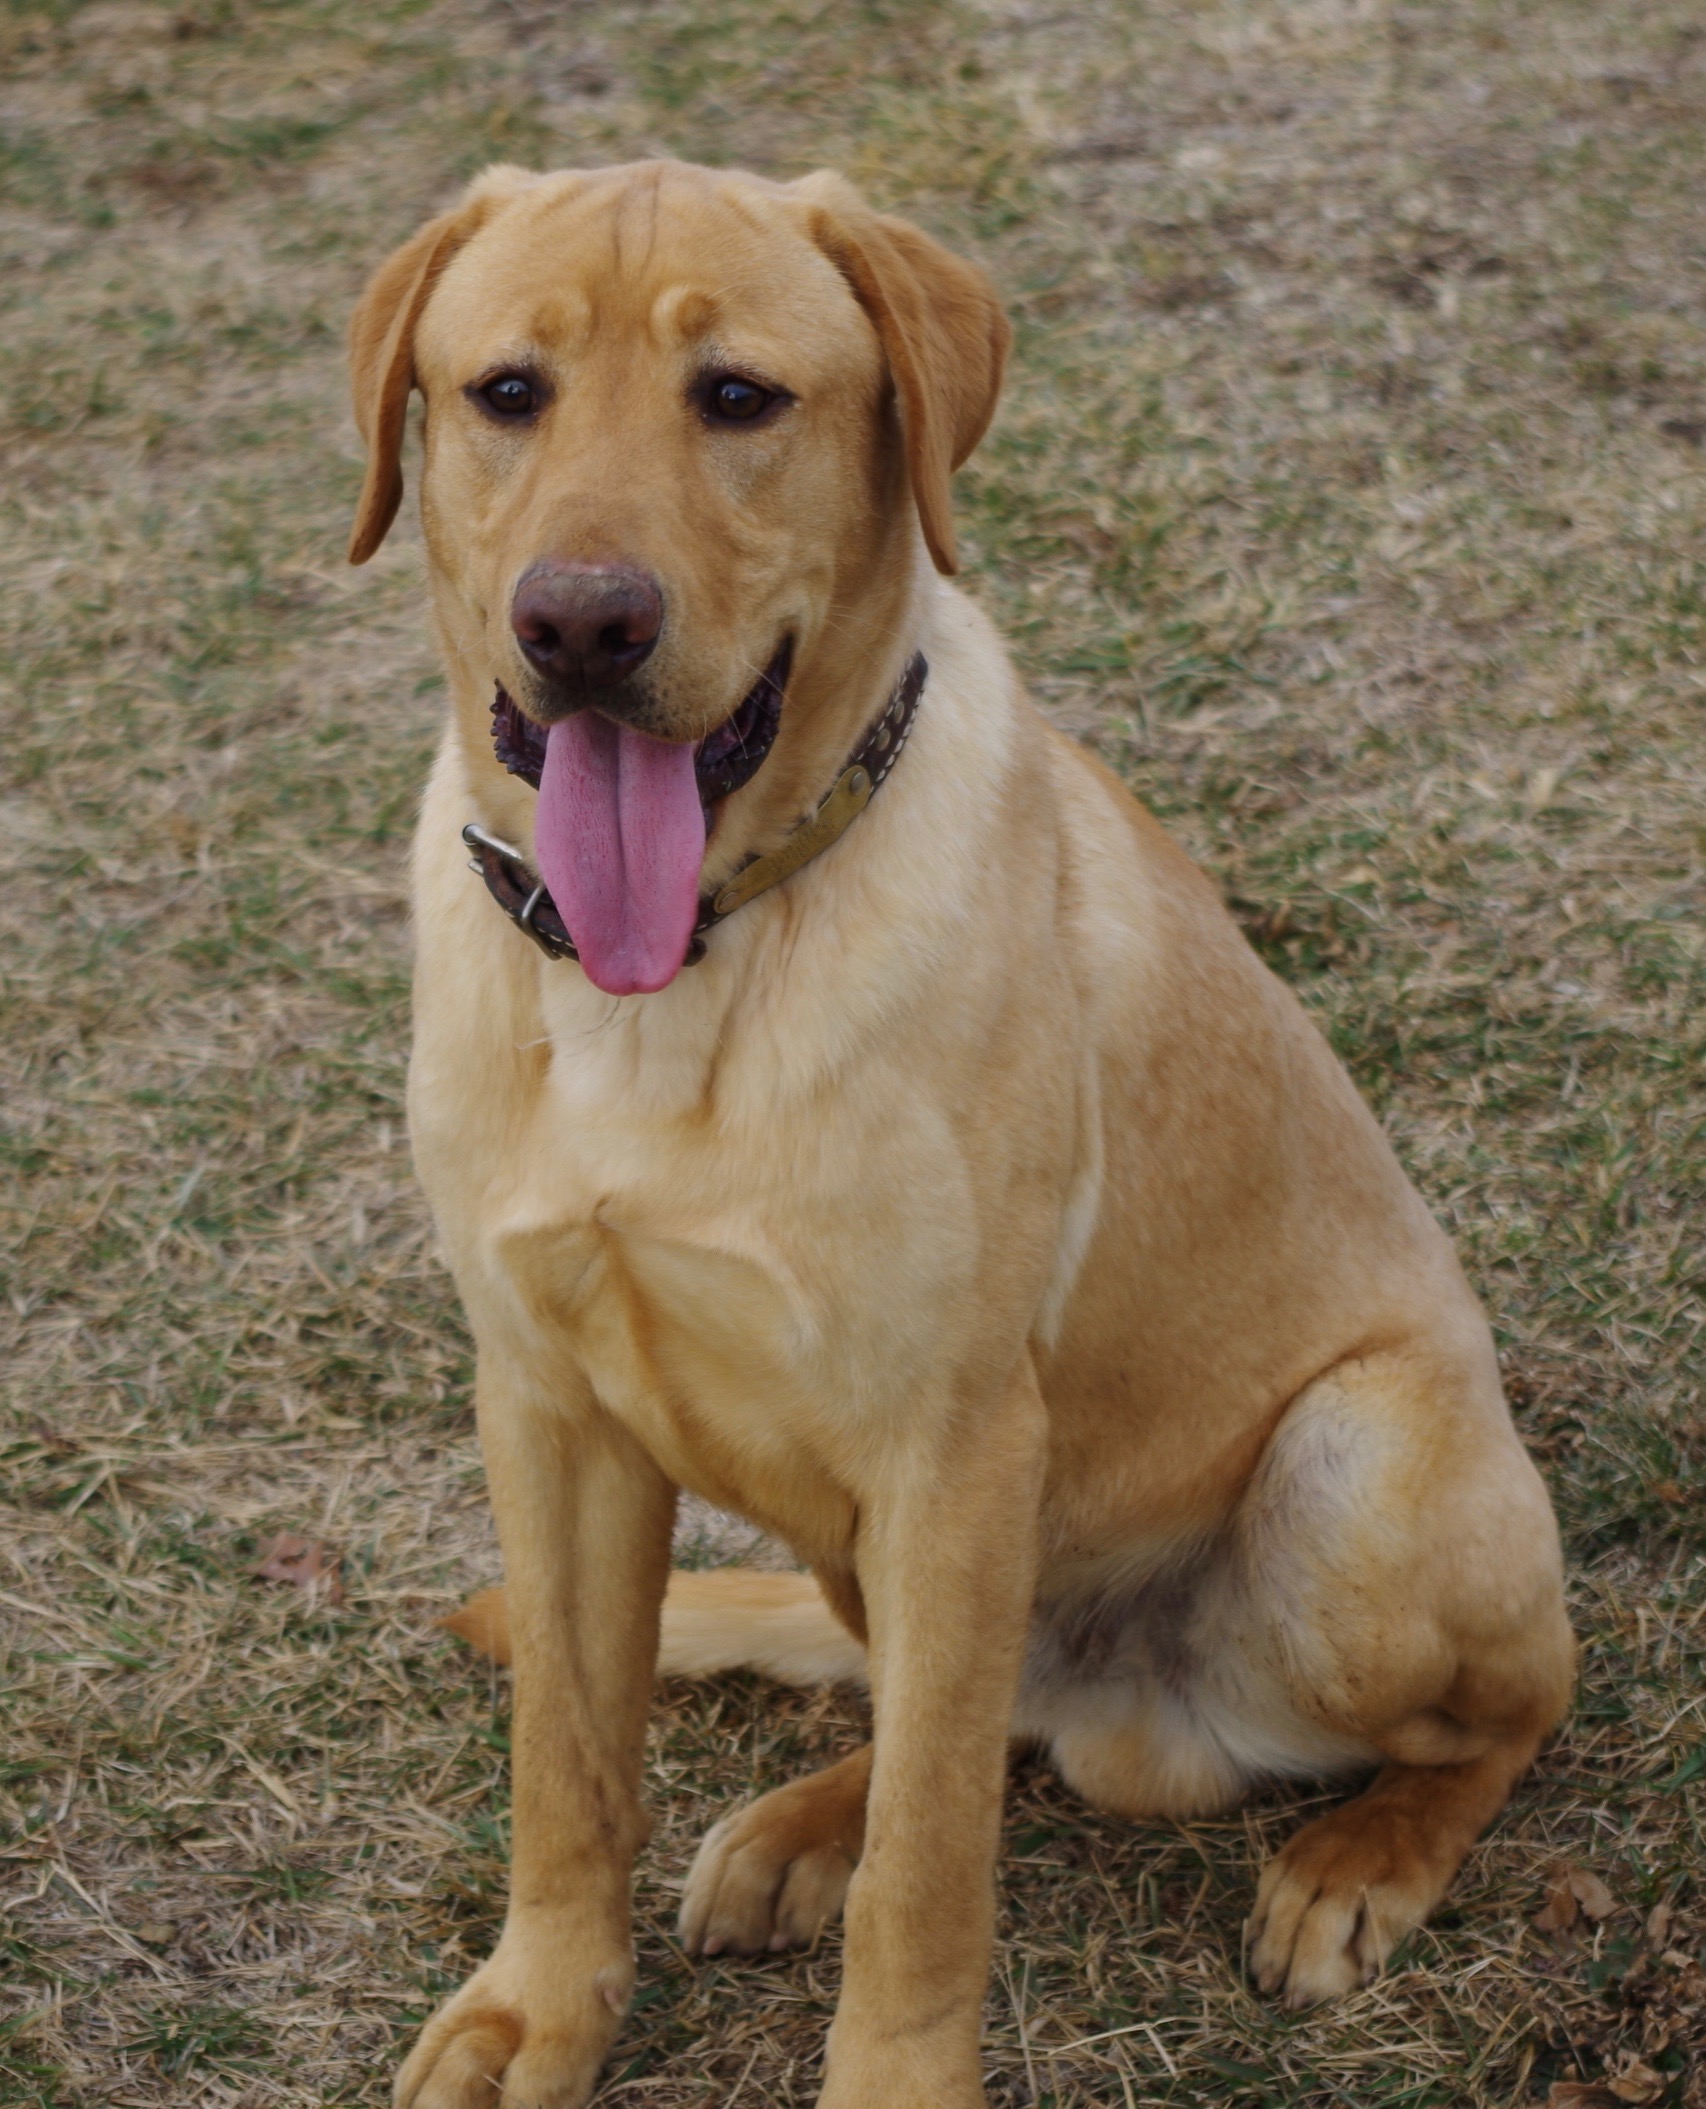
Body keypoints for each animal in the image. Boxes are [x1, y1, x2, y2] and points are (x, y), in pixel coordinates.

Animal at [350, 160, 1568, 2109]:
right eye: (504, 392)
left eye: (740, 397)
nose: (580, 624)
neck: (683, 968)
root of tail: (1129, 1698)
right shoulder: (546, 1407)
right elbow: (570, 1761)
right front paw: (541, 2006)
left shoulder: (954, 1444)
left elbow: (925, 1881)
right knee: (978, 1718)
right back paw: (800, 1826)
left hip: (1350, 1478)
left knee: (1514, 1701)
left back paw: (1360, 1856)